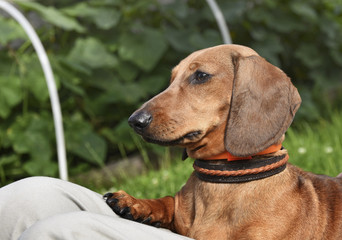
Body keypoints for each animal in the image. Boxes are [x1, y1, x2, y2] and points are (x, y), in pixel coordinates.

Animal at [103, 45, 342, 240]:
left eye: (201, 75)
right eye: (172, 79)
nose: (134, 121)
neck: (224, 177)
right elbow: (168, 201)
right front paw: (134, 202)